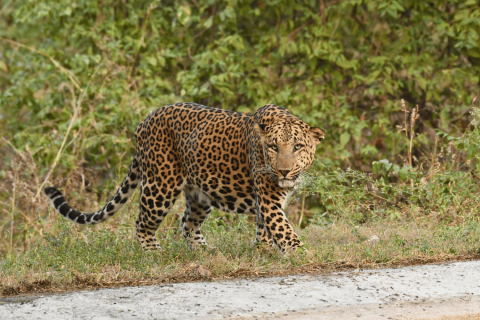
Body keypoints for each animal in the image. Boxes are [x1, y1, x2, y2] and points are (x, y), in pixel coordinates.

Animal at [44, 102, 326, 252]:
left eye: (298, 147)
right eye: (274, 147)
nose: (284, 171)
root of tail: (144, 122)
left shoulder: (267, 201)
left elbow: (266, 229)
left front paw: (263, 251)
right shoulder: (268, 199)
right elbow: (282, 228)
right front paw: (301, 253)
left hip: (200, 194)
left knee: (187, 223)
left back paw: (205, 251)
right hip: (159, 186)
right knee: (142, 222)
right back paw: (154, 253)